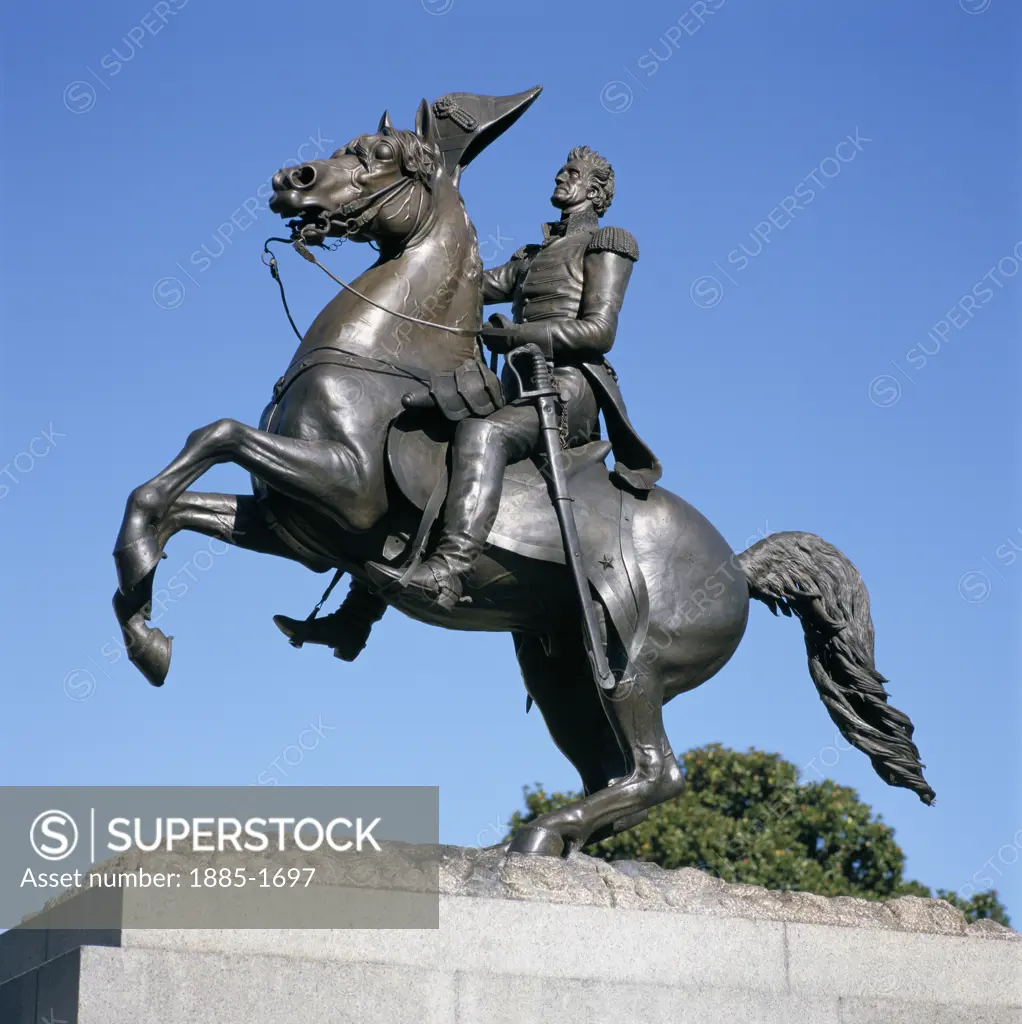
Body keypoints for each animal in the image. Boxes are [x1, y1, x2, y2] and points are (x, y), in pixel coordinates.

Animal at [114, 92, 938, 856]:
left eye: (378, 155)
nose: (292, 179)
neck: (383, 356)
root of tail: (738, 567)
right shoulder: (298, 530)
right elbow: (176, 495)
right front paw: (144, 625)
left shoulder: (340, 489)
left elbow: (215, 434)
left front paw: (141, 600)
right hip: (566, 671)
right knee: (613, 772)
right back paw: (548, 842)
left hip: (638, 670)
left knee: (657, 772)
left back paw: (543, 833)